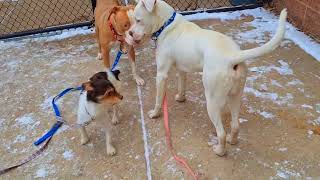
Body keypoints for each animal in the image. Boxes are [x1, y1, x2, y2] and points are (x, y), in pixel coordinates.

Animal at [125, 0, 288, 155]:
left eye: (138, 20)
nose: (130, 33)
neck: (166, 24)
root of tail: (233, 55)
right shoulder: (182, 70)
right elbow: (182, 85)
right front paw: (181, 98)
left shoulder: (161, 75)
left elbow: (159, 99)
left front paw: (154, 114)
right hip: (235, 97)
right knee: (235, 125)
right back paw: (232, 140)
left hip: (212, 102)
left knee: (221, 133)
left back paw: (220, 151)